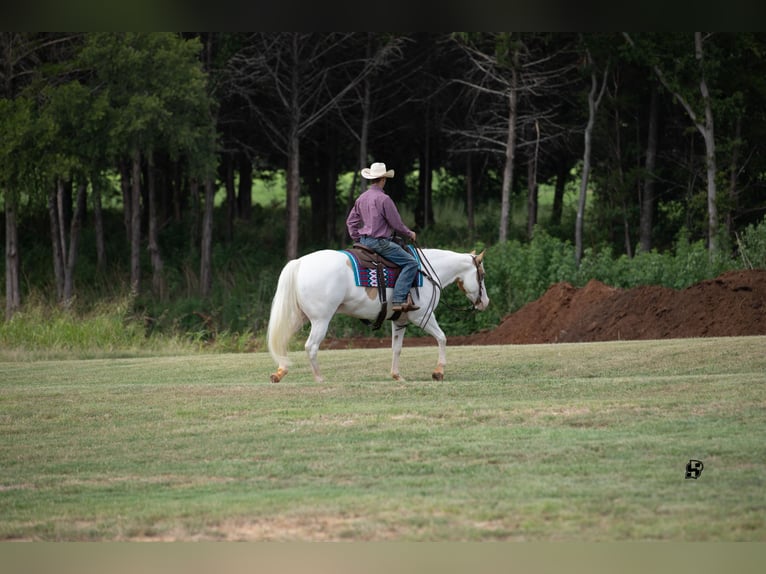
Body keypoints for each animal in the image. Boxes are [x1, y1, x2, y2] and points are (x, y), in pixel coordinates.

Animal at [268, 246, 488, 384]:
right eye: (482, 275)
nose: (485, 302)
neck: (426, 272)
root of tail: (300, 263)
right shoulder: (423, 317)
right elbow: (442, 338)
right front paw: (439, 372)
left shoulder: (400, 321)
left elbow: (396, 348)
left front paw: (397, 375)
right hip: (321, 320)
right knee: (311, 346)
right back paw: (319, 378)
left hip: (299, 318)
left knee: (283, 340)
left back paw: (280, 372)